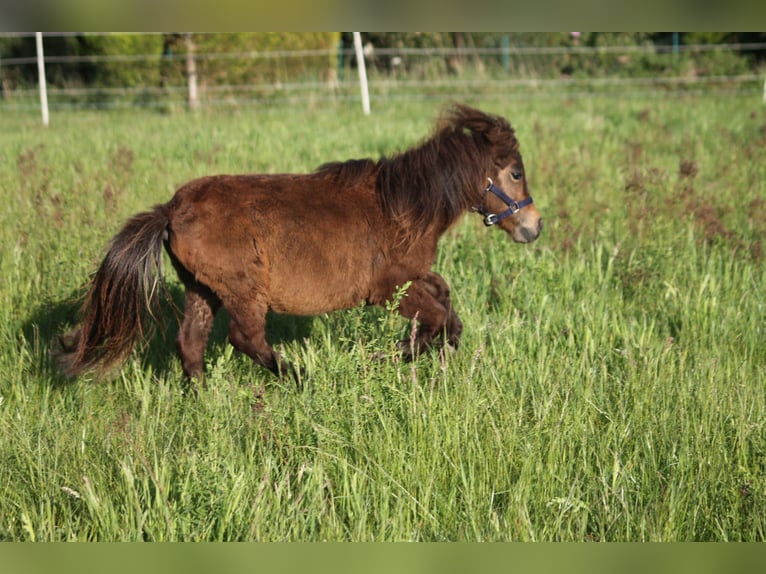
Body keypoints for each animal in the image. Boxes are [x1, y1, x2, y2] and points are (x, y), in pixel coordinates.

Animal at [55, 103, 540, 382]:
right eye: (516, 172)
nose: (533, 227)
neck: (403, 206)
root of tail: (170, 210)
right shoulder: (386, 290)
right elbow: (437, 317)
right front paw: (383, 358)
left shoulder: (413, 276)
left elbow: (445, 303)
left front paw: (422, 350)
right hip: (242, 289)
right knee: (245, 338)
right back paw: (302, 379)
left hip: (202, 288)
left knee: (190, 343)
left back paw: (204, 401)